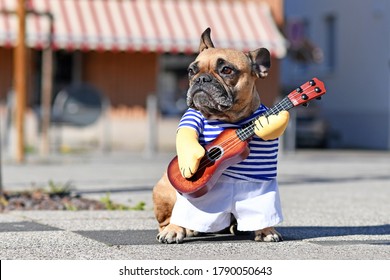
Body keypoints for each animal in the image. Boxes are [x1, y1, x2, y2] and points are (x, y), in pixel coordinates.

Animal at [153, 27, 290, 244]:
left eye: (227, 70)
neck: (225, 117)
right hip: (163, 190)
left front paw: (267, 231)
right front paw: (174, 230)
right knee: (171, 216)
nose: (201, 79)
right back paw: (177, 228)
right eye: (191, 71)